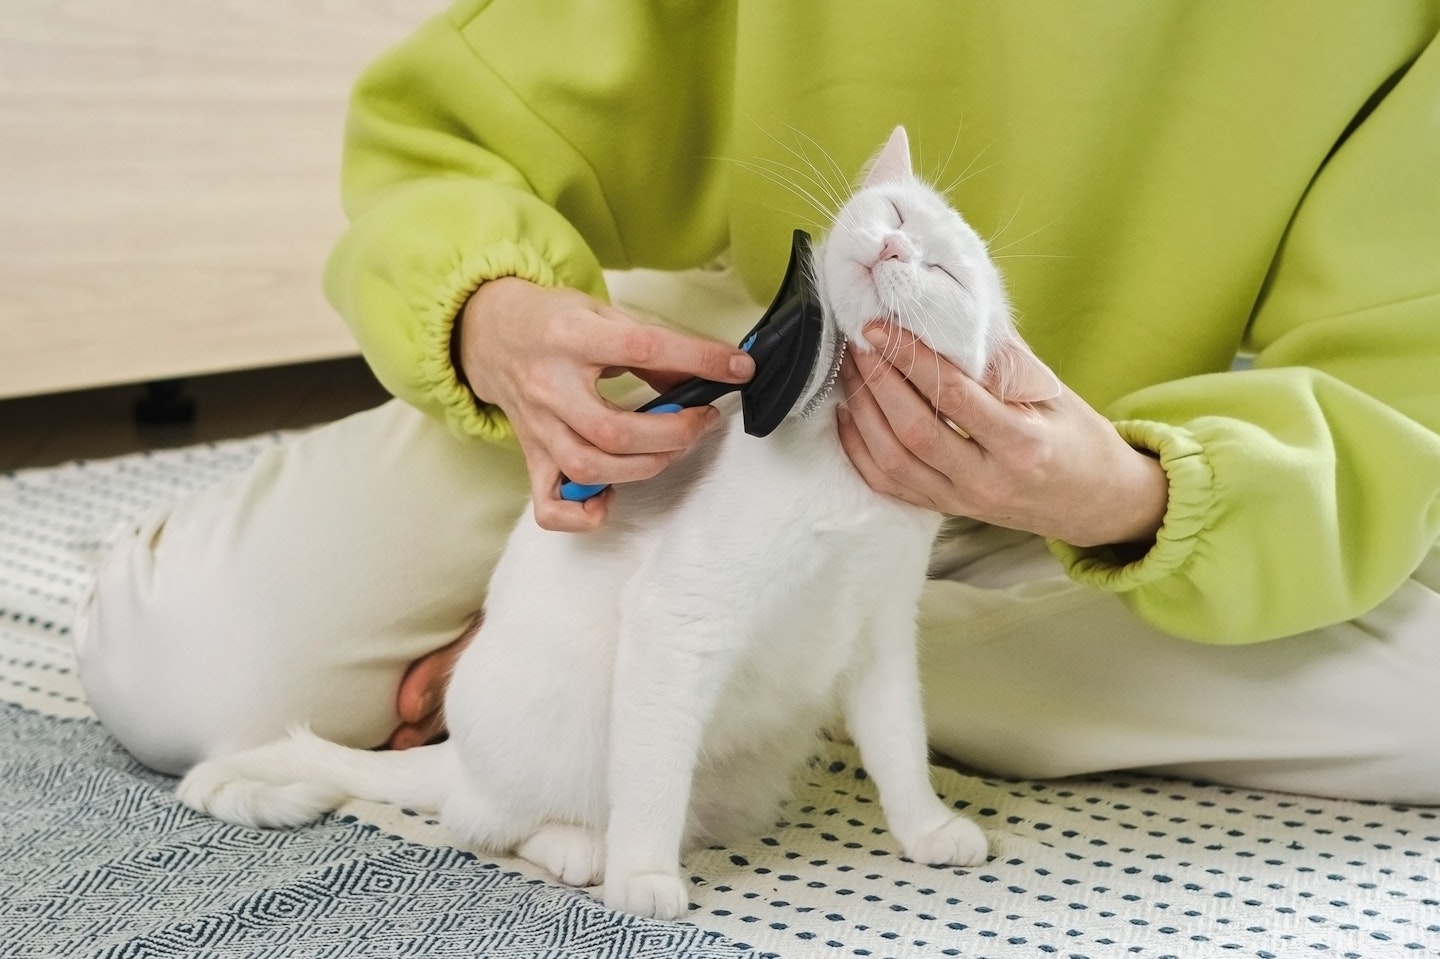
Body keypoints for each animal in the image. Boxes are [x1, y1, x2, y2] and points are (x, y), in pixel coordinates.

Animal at [177, 126, 1059, 921]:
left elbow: (900, 745)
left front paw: (927, 828)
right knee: (485, 820)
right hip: (555, 730)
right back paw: (582, 848)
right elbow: (650, 783)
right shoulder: (680, 619)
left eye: (944, 273)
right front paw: (643, 877)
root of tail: (458, 753)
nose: (895, 251)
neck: (840, 462)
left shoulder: (879, 632)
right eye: (899, 214)